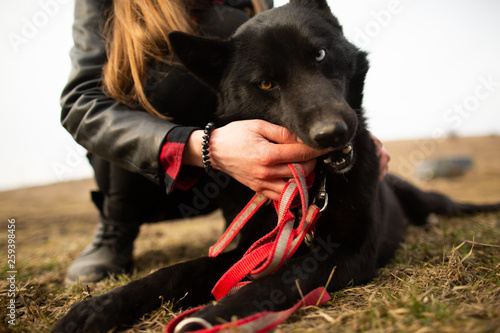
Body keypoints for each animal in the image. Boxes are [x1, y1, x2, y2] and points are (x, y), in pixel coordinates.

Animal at [51, 1, 500, 330]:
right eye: (266, 83)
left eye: (320, 54)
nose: (332, 133)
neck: (313, 183)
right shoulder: (250, 249)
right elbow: (174, 272)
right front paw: (98, 308)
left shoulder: (347, 252)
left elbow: (269, 284)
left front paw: (206, 318)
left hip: (427, 198)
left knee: (449, 206)